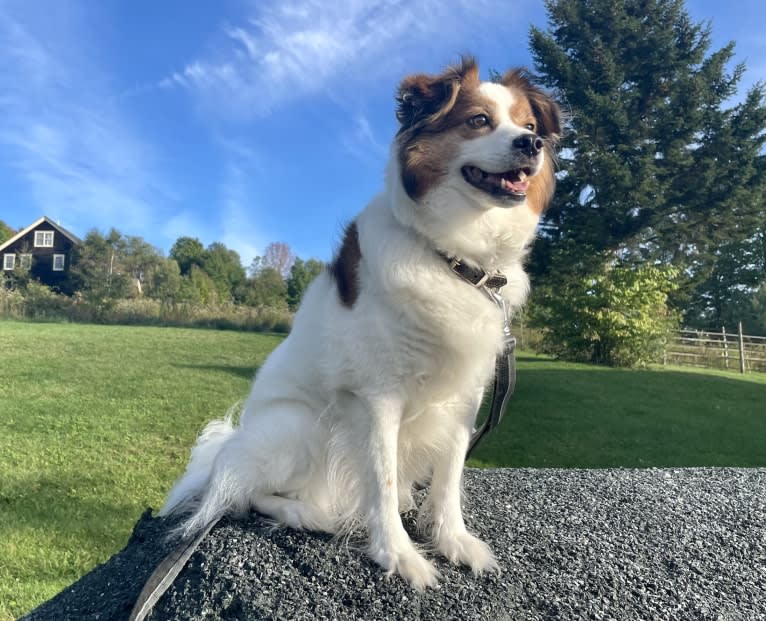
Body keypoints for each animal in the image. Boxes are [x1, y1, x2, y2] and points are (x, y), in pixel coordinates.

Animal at [160, 58, 560, 592]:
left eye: (529, 125)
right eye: (479, 121)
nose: (531, 144)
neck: (453, 255)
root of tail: (230, 445)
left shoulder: (465, 395)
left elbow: (450, 474)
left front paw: (452, 539)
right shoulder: (376, 396)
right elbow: (382, 479)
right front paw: (399, 554)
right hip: (297, 425)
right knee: (245, 494)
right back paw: (311, 515)